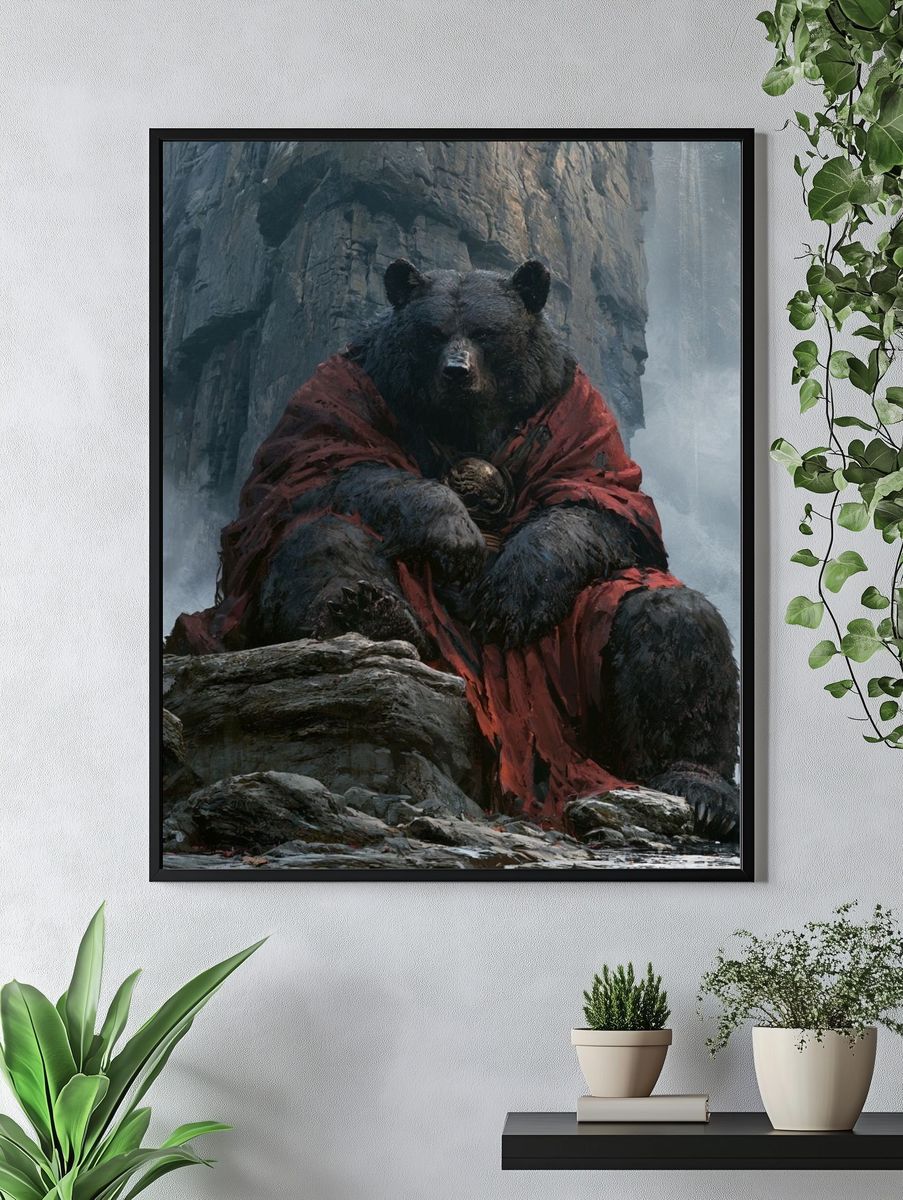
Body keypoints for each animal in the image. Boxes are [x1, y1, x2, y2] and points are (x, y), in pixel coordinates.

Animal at [169, 258, 740, 839]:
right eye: (434, 332)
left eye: (486, 333)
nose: (456, 371)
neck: (466, 420)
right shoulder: (346, 393)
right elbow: (322, 470)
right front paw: (451, 530)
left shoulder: (574, 411)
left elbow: (602, 505)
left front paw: (514, 586)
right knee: (320, 532)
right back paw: (367, 612)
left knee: (670, 618)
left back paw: (698, 786)